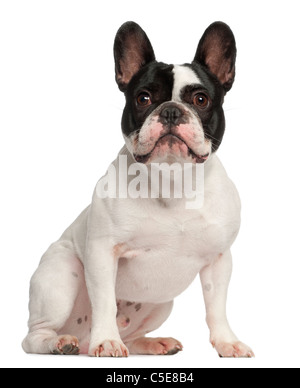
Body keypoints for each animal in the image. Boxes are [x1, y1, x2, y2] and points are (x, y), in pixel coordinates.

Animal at [22, 19, 254, 356]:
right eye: (143, 98)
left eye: (201, 99)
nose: (170, 110)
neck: (171, 180)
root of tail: (80, 337)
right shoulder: (103, 253)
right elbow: (105, 301)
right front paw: (106, 341)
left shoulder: (219, 259)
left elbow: (216, 306)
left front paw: (227, 342)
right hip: (62, 276)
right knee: (34, 335)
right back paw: (62, 342)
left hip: (161, 303)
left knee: (131, 336)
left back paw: (153, 342)